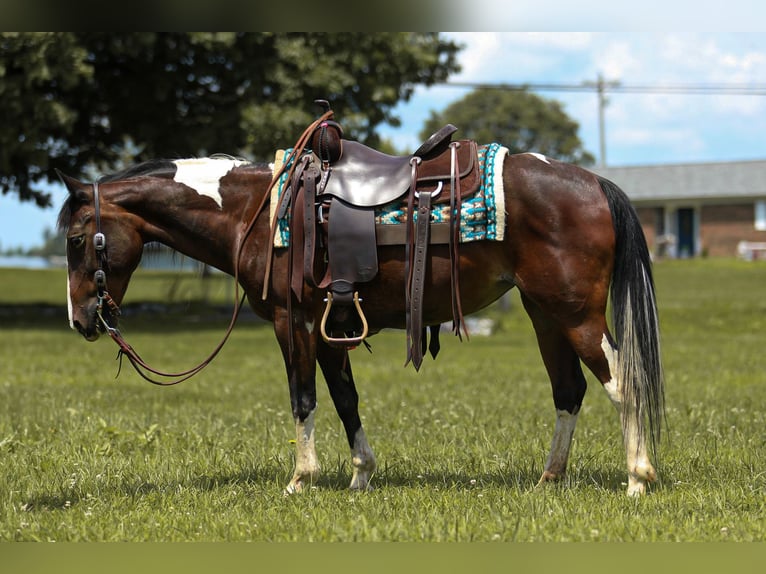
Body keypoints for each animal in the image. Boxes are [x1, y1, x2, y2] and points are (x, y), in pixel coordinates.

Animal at [57, 143, 664, 497]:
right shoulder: (332, 328)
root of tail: (594, 184)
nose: (82, 320)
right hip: (545, 315)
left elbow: (303, 398)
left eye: (76, 239)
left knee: (622, 382)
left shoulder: (293, 322)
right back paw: (549, 478)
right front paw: (360, 475)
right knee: (569, 391)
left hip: (576, 315)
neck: (257, 212)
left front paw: (300, 481)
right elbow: (346, 399)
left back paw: (638, 479)